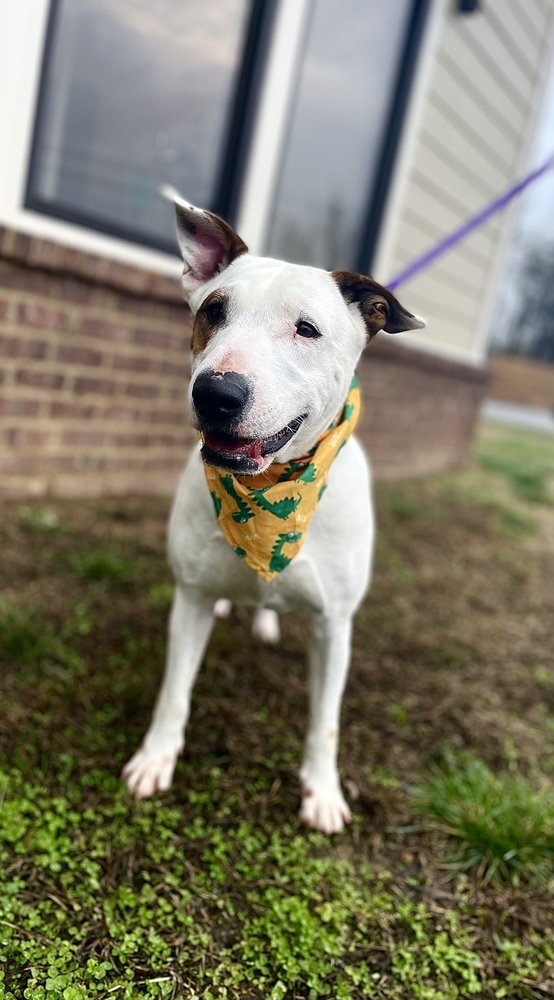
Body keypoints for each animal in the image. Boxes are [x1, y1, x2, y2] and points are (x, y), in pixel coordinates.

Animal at [122, 191, 422, 832]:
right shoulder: (189, 599)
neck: (268, 494)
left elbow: (326, 722)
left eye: (306, 329)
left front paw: (322, 793)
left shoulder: (334, 625)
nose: (216, 393)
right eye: (213, 311)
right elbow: (174, 691)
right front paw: (155, 759)